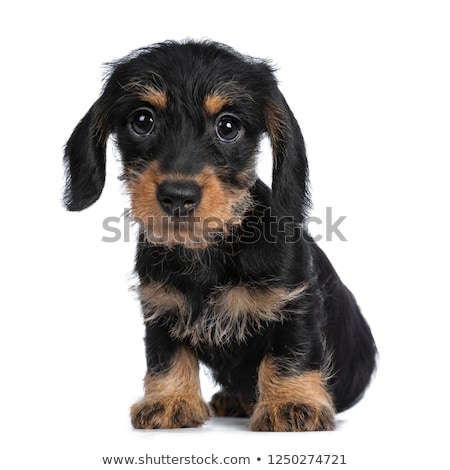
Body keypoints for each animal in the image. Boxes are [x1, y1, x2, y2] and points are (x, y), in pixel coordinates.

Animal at [64, 39, 376, 430]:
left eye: (228, 126)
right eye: (142, 120)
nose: (178, 196)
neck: (206, 250)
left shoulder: (295, 300)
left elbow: (291, 353)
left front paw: (291, 403)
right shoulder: (161, 306)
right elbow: (165, 356)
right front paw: (170, 399)